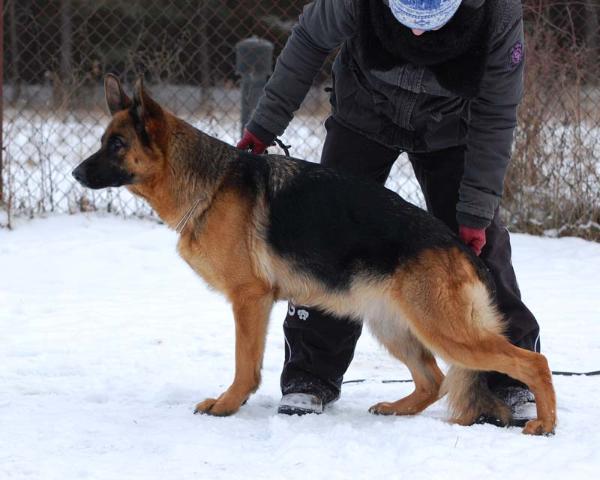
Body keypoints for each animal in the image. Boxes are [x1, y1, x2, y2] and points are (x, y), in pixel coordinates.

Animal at [72, 75, 556, 436]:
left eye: (117, 144)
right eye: (104, 140)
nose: (75, 173)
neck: (208, 183)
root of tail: (459, 247)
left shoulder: (250, 300)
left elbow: (244, 364)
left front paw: (228, 405)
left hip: (444, 331)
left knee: (532, 361)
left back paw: (544, 424)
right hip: (394, 327)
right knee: (434, 380)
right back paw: (397, 409)